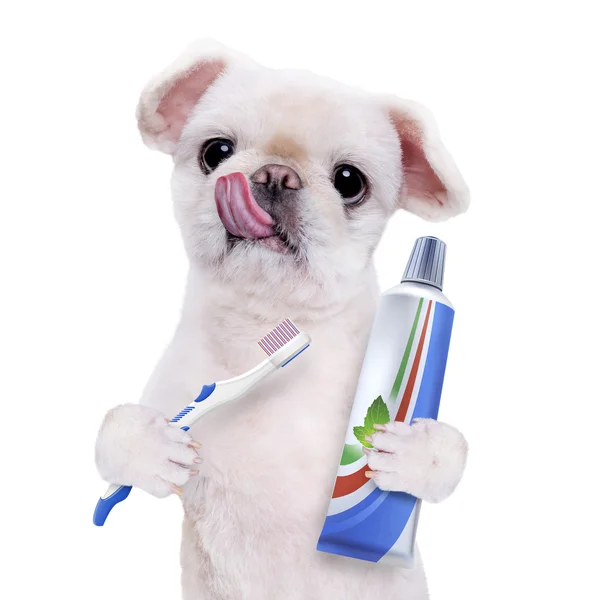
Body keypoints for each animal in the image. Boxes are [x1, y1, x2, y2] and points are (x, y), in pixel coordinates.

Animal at [96, 39, 468, 596]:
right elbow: (113, 437)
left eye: (349, 182)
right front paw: (152, 444)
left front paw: (412, 454)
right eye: (216, 153)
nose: (275, 174)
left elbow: (451, 450)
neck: (267, 318)